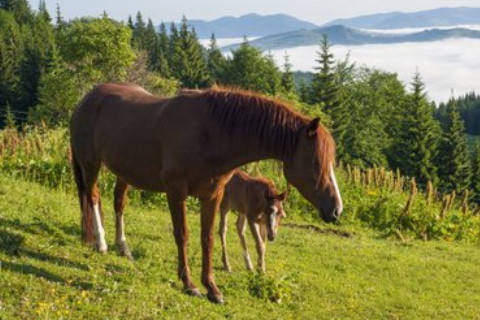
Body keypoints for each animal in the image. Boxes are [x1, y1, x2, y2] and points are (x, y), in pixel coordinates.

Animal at [69, 82, 344, 302]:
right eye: (316, 162)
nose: (336, 209)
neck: (209, 131)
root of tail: (88, 98)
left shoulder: (213, 196)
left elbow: (208, 238)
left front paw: (212, 288)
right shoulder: (175, 191)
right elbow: (182, 234)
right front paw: (189, 284)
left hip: (123, 172)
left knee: (118, 203)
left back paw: (121, 246)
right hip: (90, 163)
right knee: (92, 196)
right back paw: (101, 242)